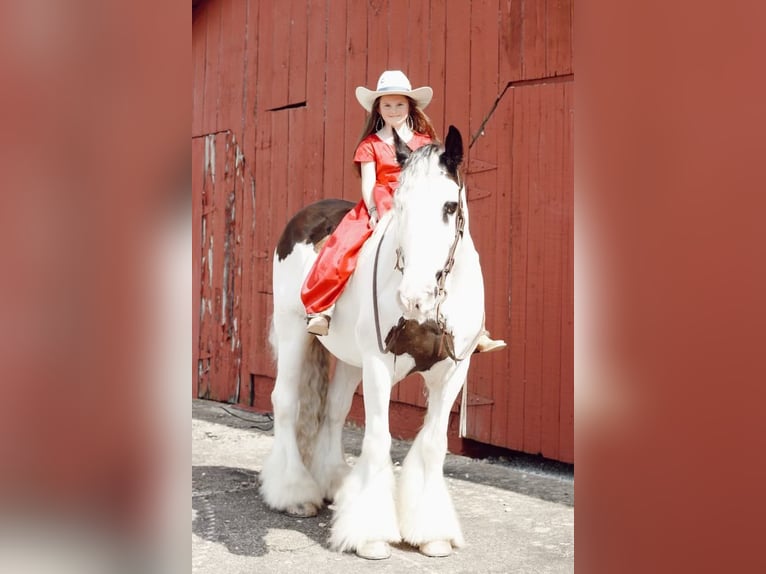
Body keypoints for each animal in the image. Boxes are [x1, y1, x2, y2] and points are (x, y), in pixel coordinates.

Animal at [260, 126, 486, 564]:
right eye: (399, 204)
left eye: (450, 206)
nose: (414, 296)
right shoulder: (380, 363)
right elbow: (379, 438)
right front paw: (370, 536)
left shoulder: (455, 370)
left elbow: (433, 443)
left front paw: (432, 534)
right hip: (295, 331)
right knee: (286, 403)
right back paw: (294, 493)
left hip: (350, 358)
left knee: (333, 411)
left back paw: (333, 484)